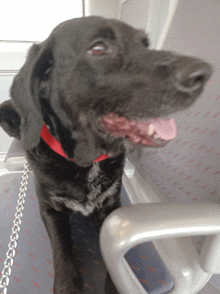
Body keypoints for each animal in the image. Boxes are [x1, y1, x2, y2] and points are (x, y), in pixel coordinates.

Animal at [0, 16, 213, 294]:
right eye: (99, 48)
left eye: (145, 44)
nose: (203, 73)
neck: (88, 163)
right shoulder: (50, 209)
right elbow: (62, 254)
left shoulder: (111, 209)